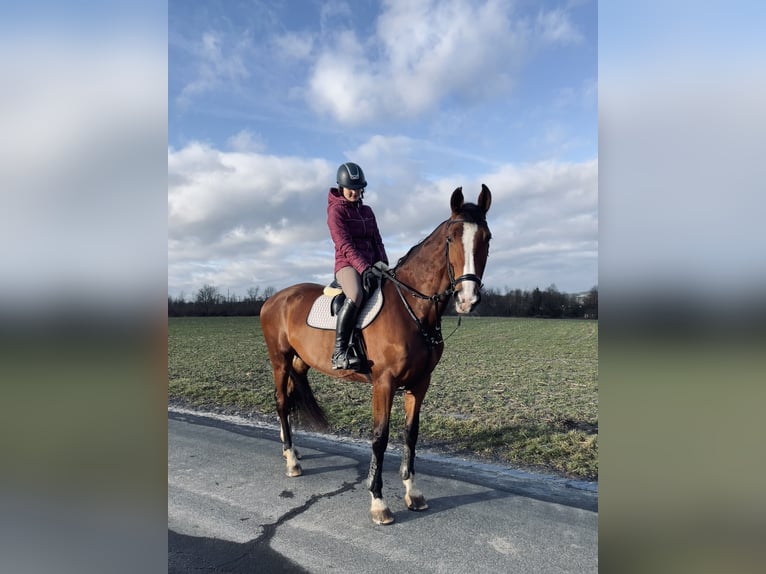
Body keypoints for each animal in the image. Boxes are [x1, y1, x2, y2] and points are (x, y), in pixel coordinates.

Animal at [260, 186, 496, 528]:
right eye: (451, 238)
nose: (468, 300)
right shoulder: (383, 383)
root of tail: (274, 298)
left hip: (299, 362)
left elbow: (410, 434)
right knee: (280, 401)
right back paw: (291, 460)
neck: (412, 307)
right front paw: (378, 502)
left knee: (289, 399)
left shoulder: (420, 384)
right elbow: (380, 437)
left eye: (487, 238)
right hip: (279, 360)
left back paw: (289, 449)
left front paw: (413, 492)